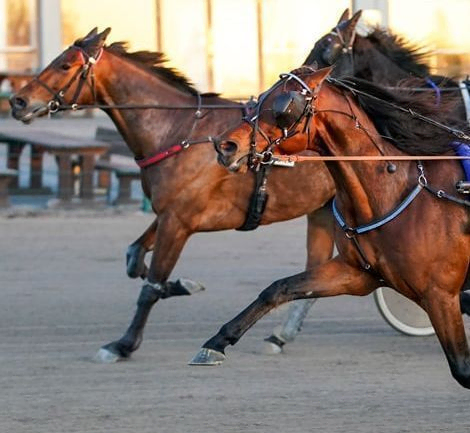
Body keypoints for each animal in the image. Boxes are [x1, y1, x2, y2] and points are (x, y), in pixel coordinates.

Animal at [9, 27, 336, 362]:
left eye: (64, 65)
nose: (18, 101)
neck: (178, 131)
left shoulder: (178, 221)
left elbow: (150, 286)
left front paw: (124, 343)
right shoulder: (167, 213)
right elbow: (135, 258)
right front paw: (182, 285)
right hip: (323, 209)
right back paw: (280, 335)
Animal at [199, 68, 470, 388]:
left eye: (283, 107)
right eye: (262, 97)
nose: (225, 146)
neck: (393, 190)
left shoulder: (440, 294)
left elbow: (463, 368)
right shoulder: (357, 274)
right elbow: (279, 288)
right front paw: (216, 343)